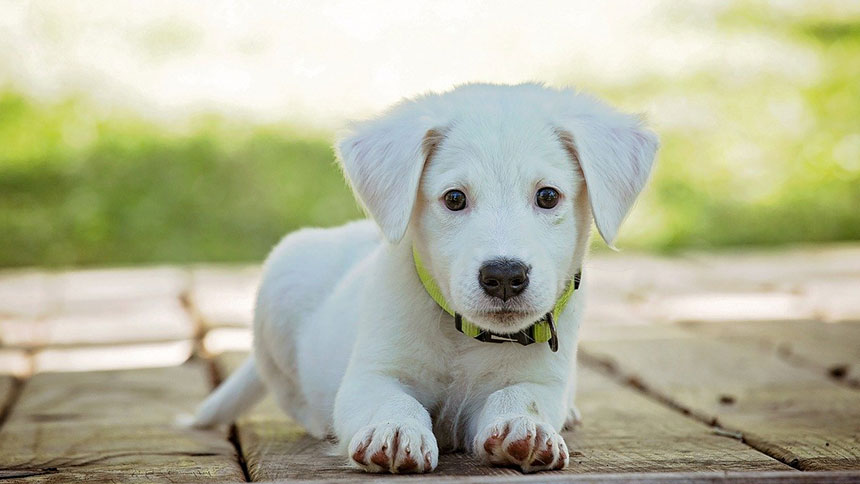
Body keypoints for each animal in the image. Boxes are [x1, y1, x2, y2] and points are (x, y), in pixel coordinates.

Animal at [191, 82, 656, 472]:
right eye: (454, 199)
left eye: (547, 196)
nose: (504, 276)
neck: (465, 337)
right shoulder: (371, 375)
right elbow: (392, 401)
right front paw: (395, 430)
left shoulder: (541, 380)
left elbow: (520, 396)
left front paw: (525, 427)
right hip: (281, 284)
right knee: (293, 397)